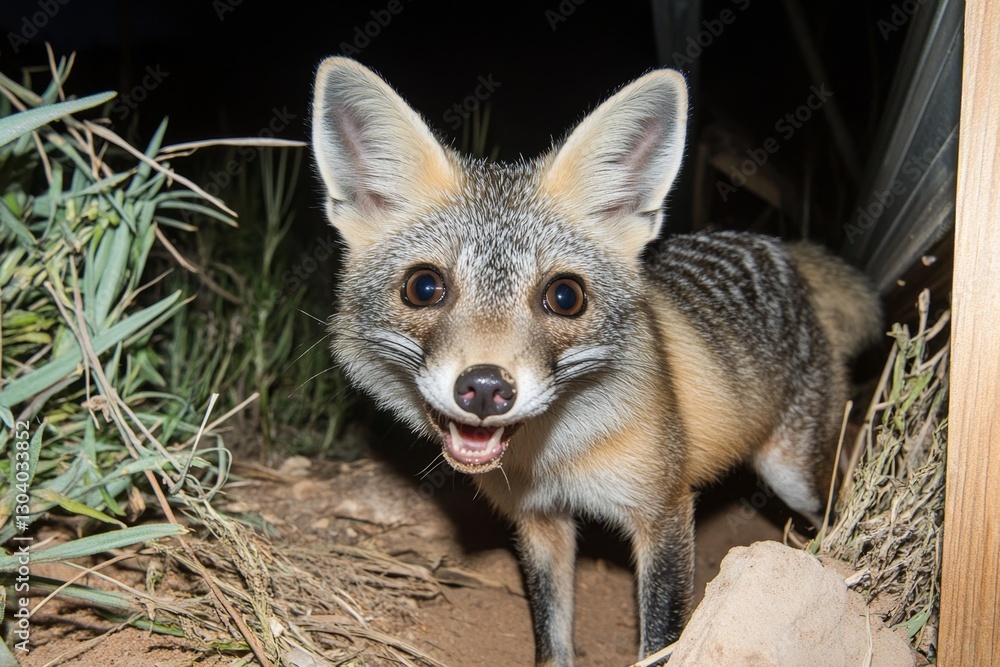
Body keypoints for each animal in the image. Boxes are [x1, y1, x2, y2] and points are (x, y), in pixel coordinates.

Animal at [311, 56, 881, 666]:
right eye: (423, 287)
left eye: (565, 297)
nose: (485, 388)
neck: (558, 457)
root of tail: (778, 246)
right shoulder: (539, 523)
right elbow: (552, 634)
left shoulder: (664, 511)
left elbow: (661, 637)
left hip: (792, 474)